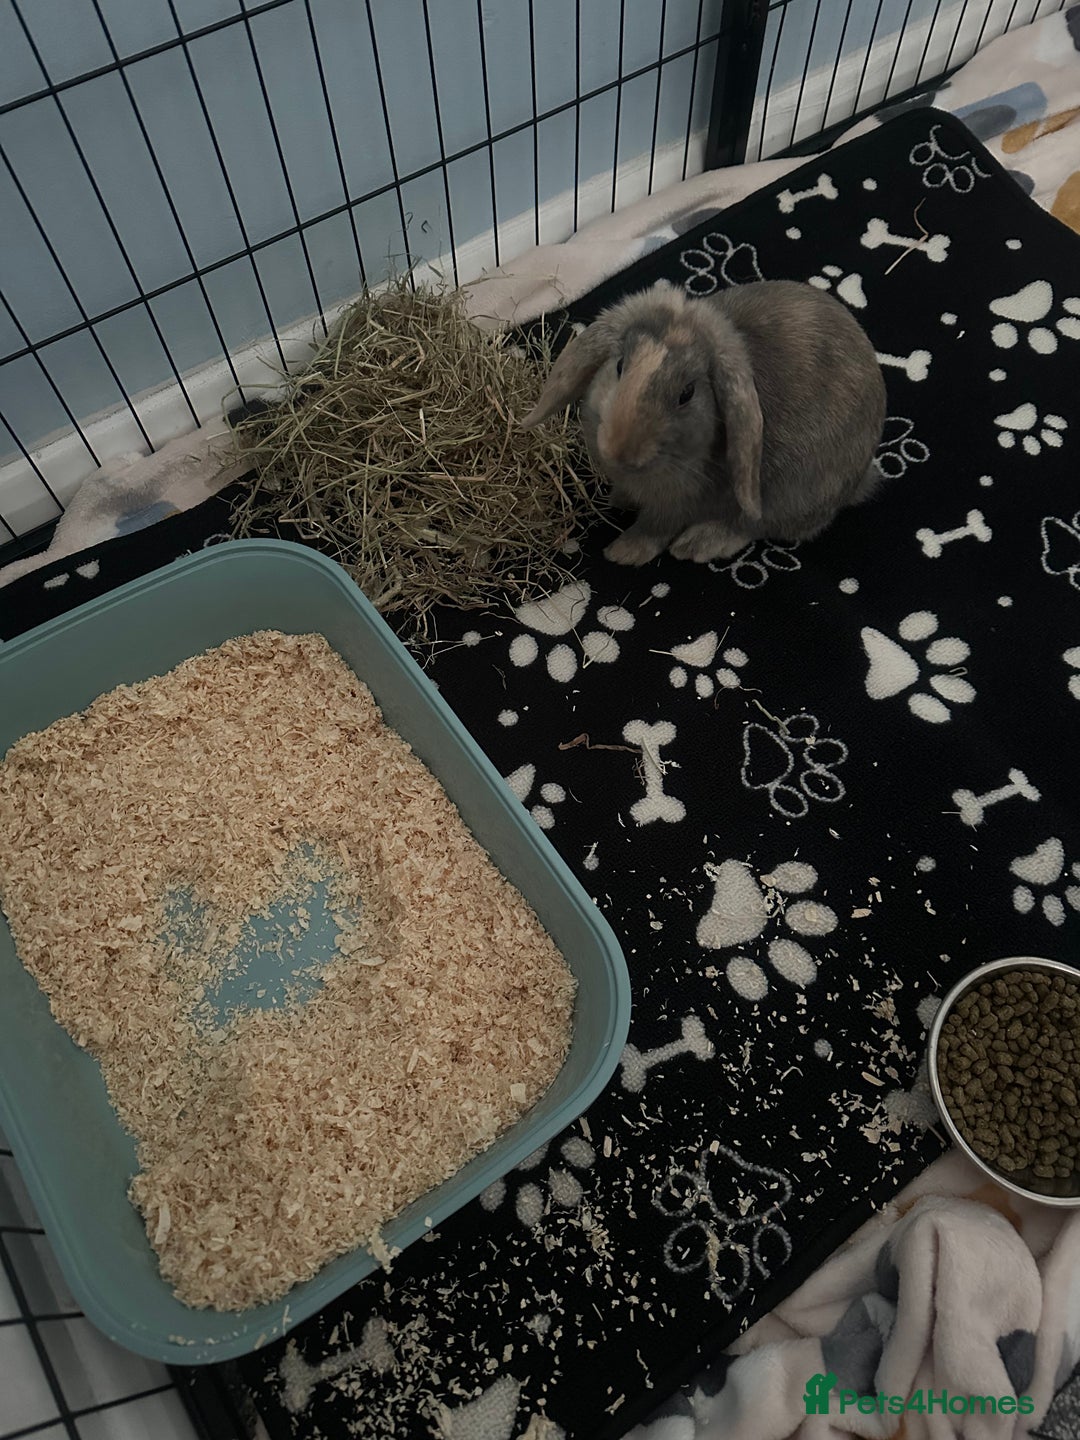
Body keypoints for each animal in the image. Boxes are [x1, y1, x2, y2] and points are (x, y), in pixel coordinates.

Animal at [520, 278, 886, 566]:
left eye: (687, 393)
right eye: (620, 365)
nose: (620, 451)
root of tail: (861, 480)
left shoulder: (674, 504)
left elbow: (653, 528)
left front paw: (622, 553)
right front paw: (618, 500)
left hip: (788, 494)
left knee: (754, 526)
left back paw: (697, 544)